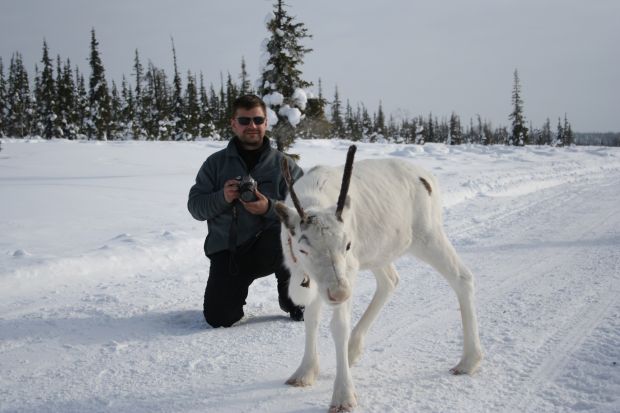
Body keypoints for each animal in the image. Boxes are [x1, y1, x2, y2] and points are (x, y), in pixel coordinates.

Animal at [276, 146, 484, 410]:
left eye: (347, 244)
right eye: (303, 249)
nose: (339, 293)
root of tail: (428, 177)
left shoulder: (349, 269)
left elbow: (338, 326)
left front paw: (343, 396)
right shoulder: (313, 278)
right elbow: (311, 319)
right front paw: (305, 372)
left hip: (427, 237)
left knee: (462, 277)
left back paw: (468, 361)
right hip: (379, 252)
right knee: (390, 281)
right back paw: (352, 350)